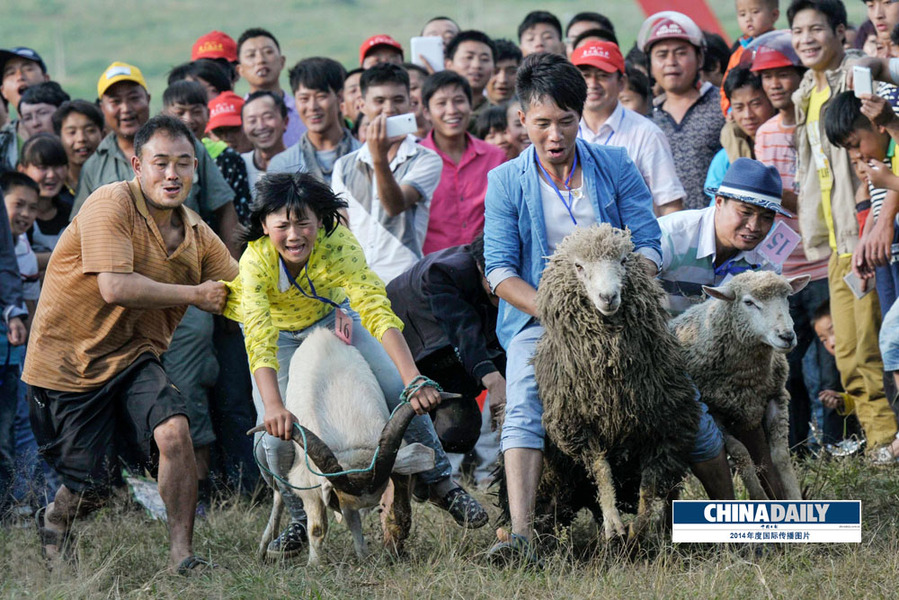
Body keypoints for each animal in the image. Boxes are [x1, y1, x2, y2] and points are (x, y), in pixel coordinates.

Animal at [253, 328, 436, 568]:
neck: (349, 438)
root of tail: (318, 332)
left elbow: (379, 516)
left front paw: (367, 557)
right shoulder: (310, 483)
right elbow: (317, 528)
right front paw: (315, 566)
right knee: (278, 495)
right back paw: (266, 548)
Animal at [672, 270, 812, 500]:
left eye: (786, 297)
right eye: (748, 302)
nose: (787, 336)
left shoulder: (775, 397)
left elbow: (780, 456)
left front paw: (794, 499)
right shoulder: (714, 412)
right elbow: (741, 454)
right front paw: (759, 497)